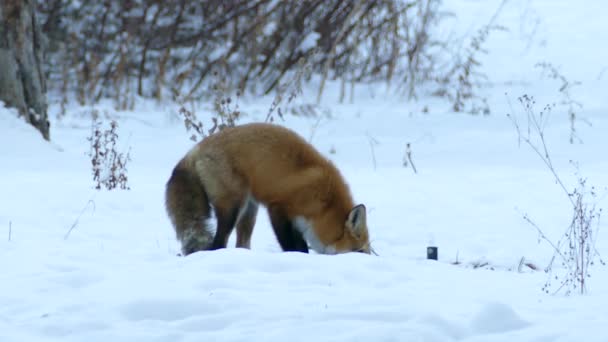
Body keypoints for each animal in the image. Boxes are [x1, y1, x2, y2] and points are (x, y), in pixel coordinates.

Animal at [165, 122, 370, 254]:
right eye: (360, 251)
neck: (324, 205)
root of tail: (194, 150)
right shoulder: (278, 208)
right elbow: (293, 246)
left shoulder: (298, 222)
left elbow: (301, 245)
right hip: (233, 208)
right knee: (218, 243)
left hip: (249, 210)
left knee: (242, 243)